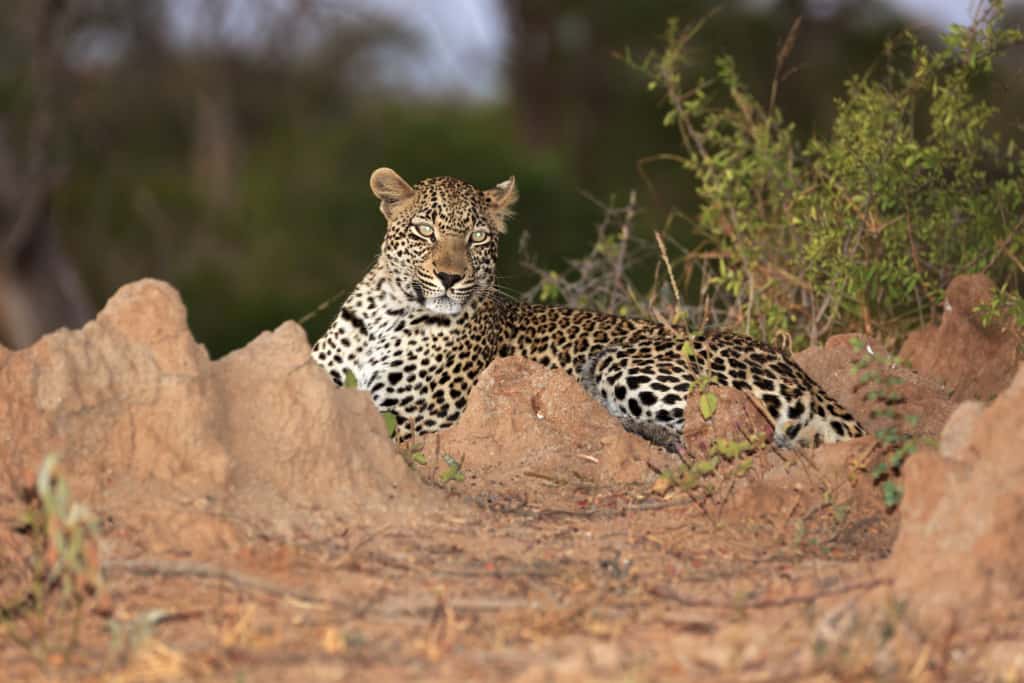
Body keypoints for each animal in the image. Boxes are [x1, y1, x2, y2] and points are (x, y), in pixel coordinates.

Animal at [311, 167, 864, 448]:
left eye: (477, 238)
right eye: (425, 230)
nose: (450, 277)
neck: (389, 313)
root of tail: (801, 373)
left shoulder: (415, 414)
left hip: (623, 361)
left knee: (738, 433)